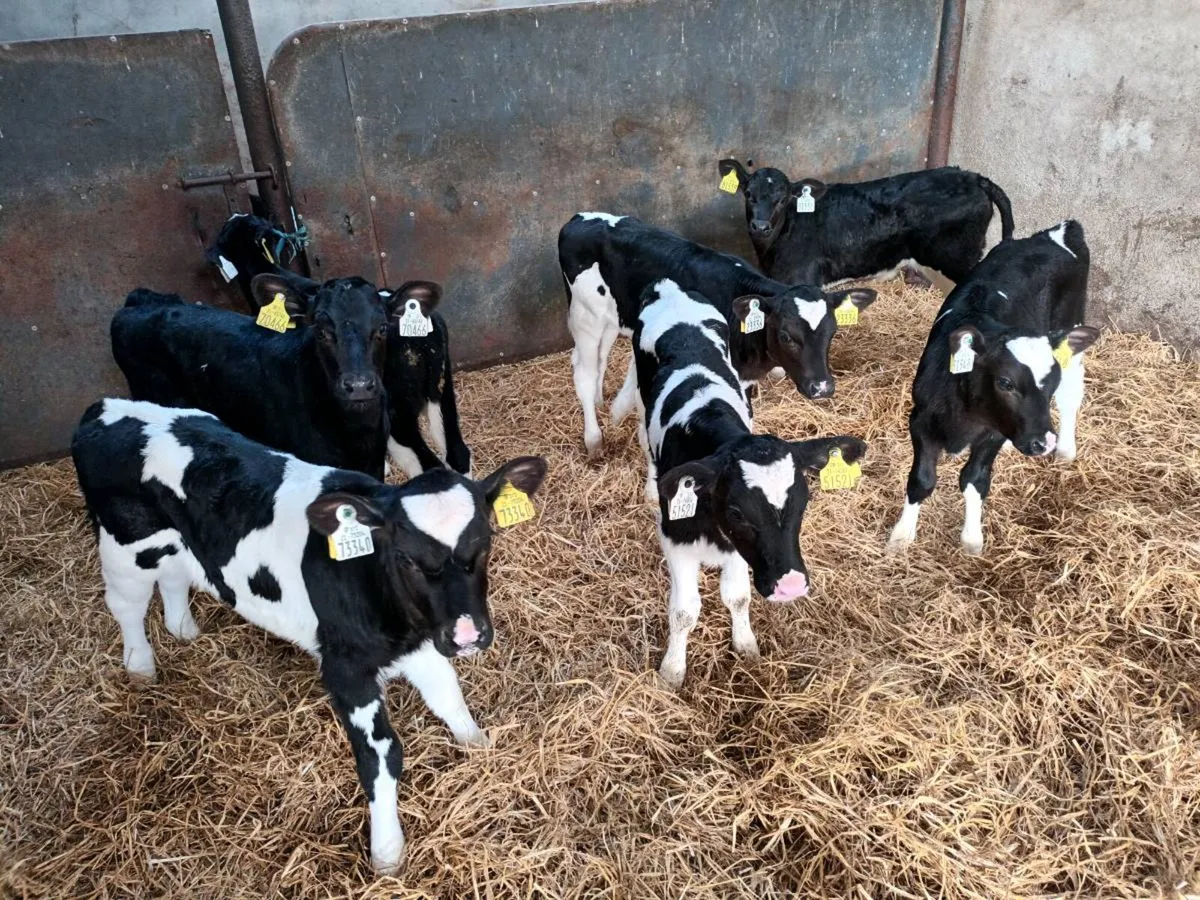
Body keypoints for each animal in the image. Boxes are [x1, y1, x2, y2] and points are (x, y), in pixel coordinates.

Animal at [71, 397, 547, 873]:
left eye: (485, 542)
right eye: (406, 558)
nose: (467, 634)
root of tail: (104, 406)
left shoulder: (421, 644)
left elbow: (449, 698)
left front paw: (478, 744)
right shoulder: (346, 670)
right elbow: (381, 757)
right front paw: (387, 852)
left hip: (174, 547)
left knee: (173, 578)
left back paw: (184, 630)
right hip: (123, 548)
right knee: (127, 605)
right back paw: (140, 668)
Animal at [559, 212, 876, 458]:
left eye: (831, 332)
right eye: (786, 336)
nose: (822, 388)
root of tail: (577, 219)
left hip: (611, 319)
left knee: (599, 359)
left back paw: (601, 403)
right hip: (585, 318)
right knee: (584, 373)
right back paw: (593, 439)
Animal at [631, 279, 867, 687]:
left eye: (803, 501)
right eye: (737, 512)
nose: (790, 586)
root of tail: (669, 287)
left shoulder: (740, 551)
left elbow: (737, 596)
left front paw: (745, 645)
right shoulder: (674, 539)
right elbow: (684, 611)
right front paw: (673, 670)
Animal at [717, 159, 1014, 289]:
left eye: (781, 199)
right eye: (748, 194)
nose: (760, 226)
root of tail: (974, 177)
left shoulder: (803, 279)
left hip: (957, 259)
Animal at [885, 220, 1100, 556]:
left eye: (1049, 382)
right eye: (1005, 382)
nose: (1043, 442)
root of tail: (1057, 232)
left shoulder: (992, 434)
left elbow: (974, 479)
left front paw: (971, 538)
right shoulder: (920, 420)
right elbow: (921, 479)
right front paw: (901, 535)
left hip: (1073, 329)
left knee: (1071, 395)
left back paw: (1066, 448)